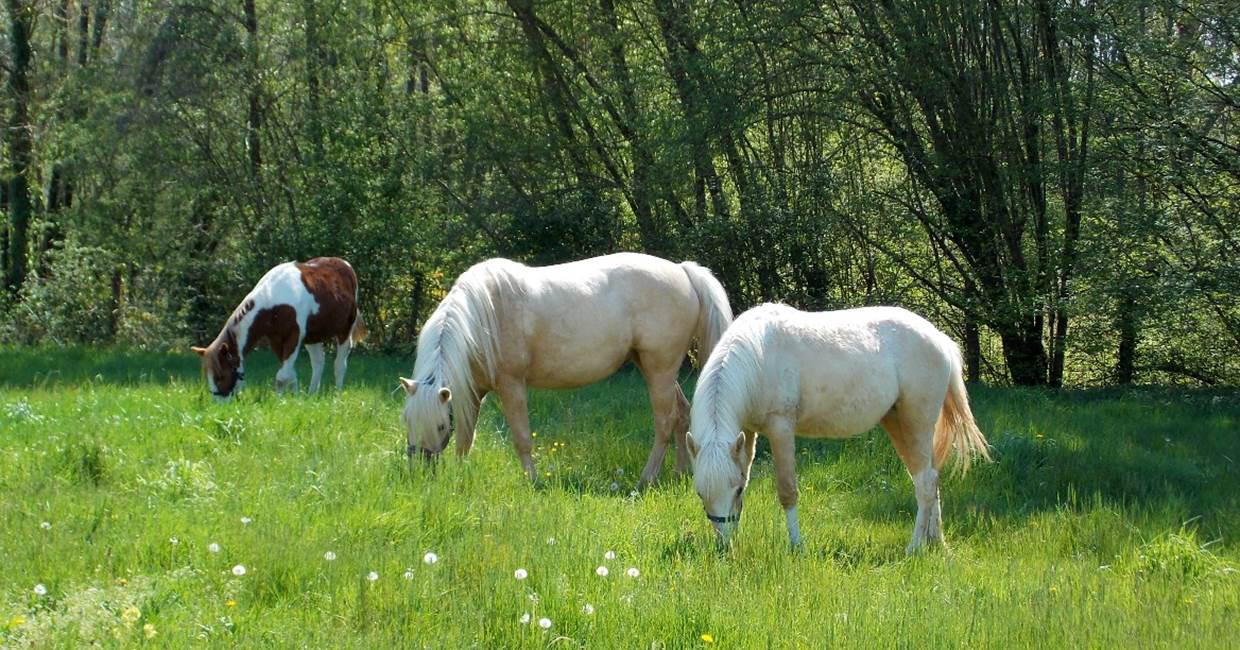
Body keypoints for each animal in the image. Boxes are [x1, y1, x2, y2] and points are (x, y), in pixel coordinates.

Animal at [191, 257, 365, 401]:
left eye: (220, 376)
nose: (219, 404)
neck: (272, 301)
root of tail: (345, 264)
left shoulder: (293, 338)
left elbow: (282, 377)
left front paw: (279, 401)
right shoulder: (276, 340)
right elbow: (290, 374)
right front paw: (294, 399)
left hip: (344, 330)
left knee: (339, 364)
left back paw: (337, 395)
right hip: (313, 337)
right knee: (318, 362)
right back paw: (312, 394)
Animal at [399, 252, 732, 486]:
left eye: (440, 426)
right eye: (407, 421)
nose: (419, 472)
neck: (484, 316)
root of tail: (682, 270)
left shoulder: (511, 385)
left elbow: (521, 437)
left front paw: (533, 482)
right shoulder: (472, 391)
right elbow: (466, 437)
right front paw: (459, 476)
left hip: (659, 369)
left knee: (665, 422)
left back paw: (646, 479)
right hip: (654, 368)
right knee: (682, 414)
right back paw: (680, 474)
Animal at [686, 303, 990, 554]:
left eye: (734, 490)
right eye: (701, 494)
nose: (724, 546)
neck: (758, 356)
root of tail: (939, 339)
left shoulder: (781, 428)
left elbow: (787, 491)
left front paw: (797, 546)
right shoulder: (748, 431)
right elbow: (747, 473)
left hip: (917, 423)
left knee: (926, 483)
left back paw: (914, 548)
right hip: (899, 424)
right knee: (928, 478)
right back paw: (936, 542)